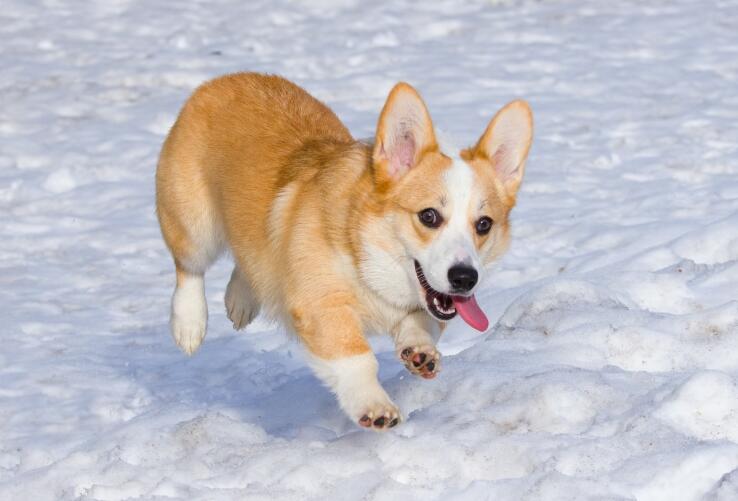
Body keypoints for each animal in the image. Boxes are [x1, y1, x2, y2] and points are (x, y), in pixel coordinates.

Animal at [158, 71, 532, 430]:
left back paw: (241, 300)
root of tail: (219, 82)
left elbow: (423, 322)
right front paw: (373, 405)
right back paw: (189, 324)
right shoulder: (322, 303)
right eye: (429, 216)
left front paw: (419, 352)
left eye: (484, 224)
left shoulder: (428, 305)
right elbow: (355, 356)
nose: (466, 279)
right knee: (189, 267)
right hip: (195, 225)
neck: (370, 251)